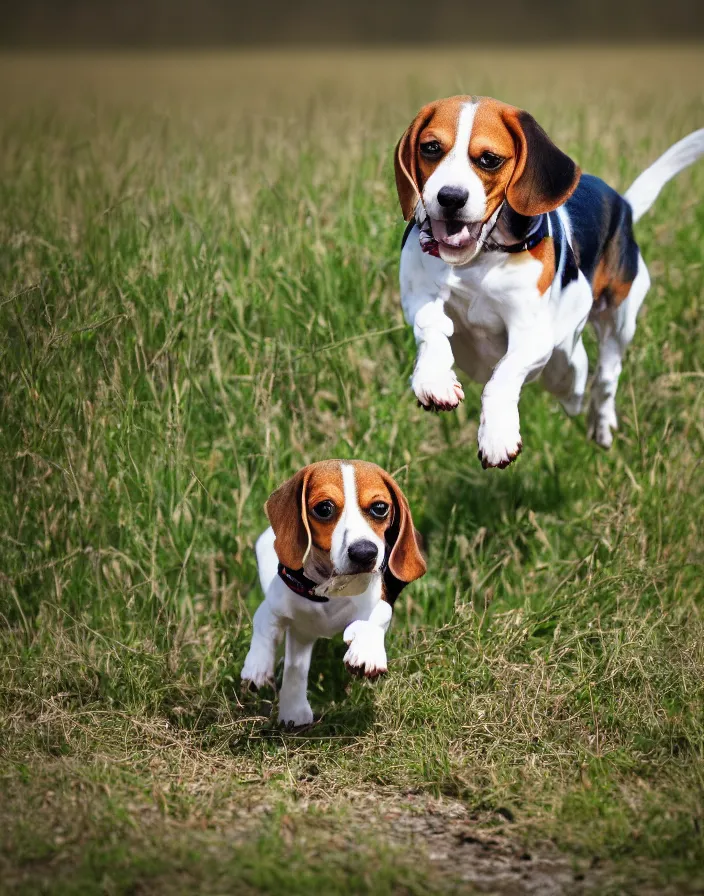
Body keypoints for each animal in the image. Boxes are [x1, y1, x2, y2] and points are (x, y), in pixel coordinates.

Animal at [242, 462, 426, 728]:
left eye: (380, 508)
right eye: (324, 508)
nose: (364, 553)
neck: (329, 589)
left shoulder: (379, 599)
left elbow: (377, 616)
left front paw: (366, 651)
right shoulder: (276, 604)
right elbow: (265, 627)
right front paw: (257, 665)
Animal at [396, 95, 704, 466]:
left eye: (489, 159)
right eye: (430, 148)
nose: (450, 197)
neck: (479, 257)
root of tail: (625, 205)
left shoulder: (532, 334)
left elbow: (503, 376)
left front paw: (497, 435)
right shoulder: (418, 295)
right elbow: (432, 329)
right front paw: (434, 379)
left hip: (616, 323)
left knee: (599, 378)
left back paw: (601, 424)